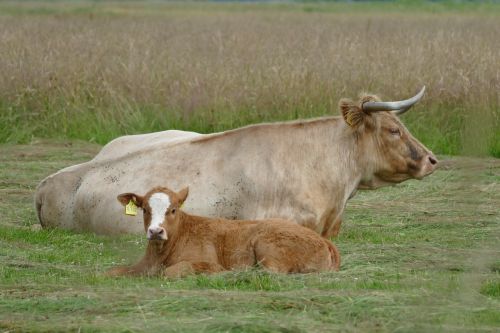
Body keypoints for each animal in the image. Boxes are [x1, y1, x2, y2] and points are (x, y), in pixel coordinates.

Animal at [105, 185, 340, 276]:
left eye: (173, 210)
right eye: (145, 209)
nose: (155, 232)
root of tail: (324, 240)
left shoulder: (206, 262)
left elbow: (172, 272)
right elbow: (111, 271)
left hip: (267, 245)